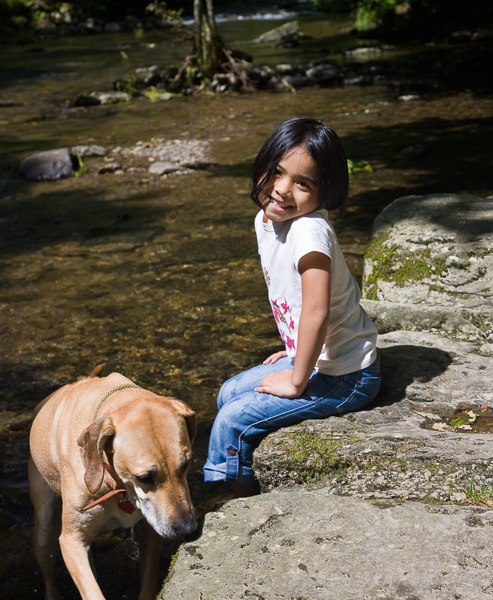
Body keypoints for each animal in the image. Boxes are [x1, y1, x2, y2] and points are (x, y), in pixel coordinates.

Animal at [28, 366, 196, 600]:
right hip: (44, 529)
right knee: (49, 573)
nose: (187, 528)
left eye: (187, 464)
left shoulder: (149, 530)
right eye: (144, 477)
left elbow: (148, 579)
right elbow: (91, 590)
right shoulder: (72, 540)